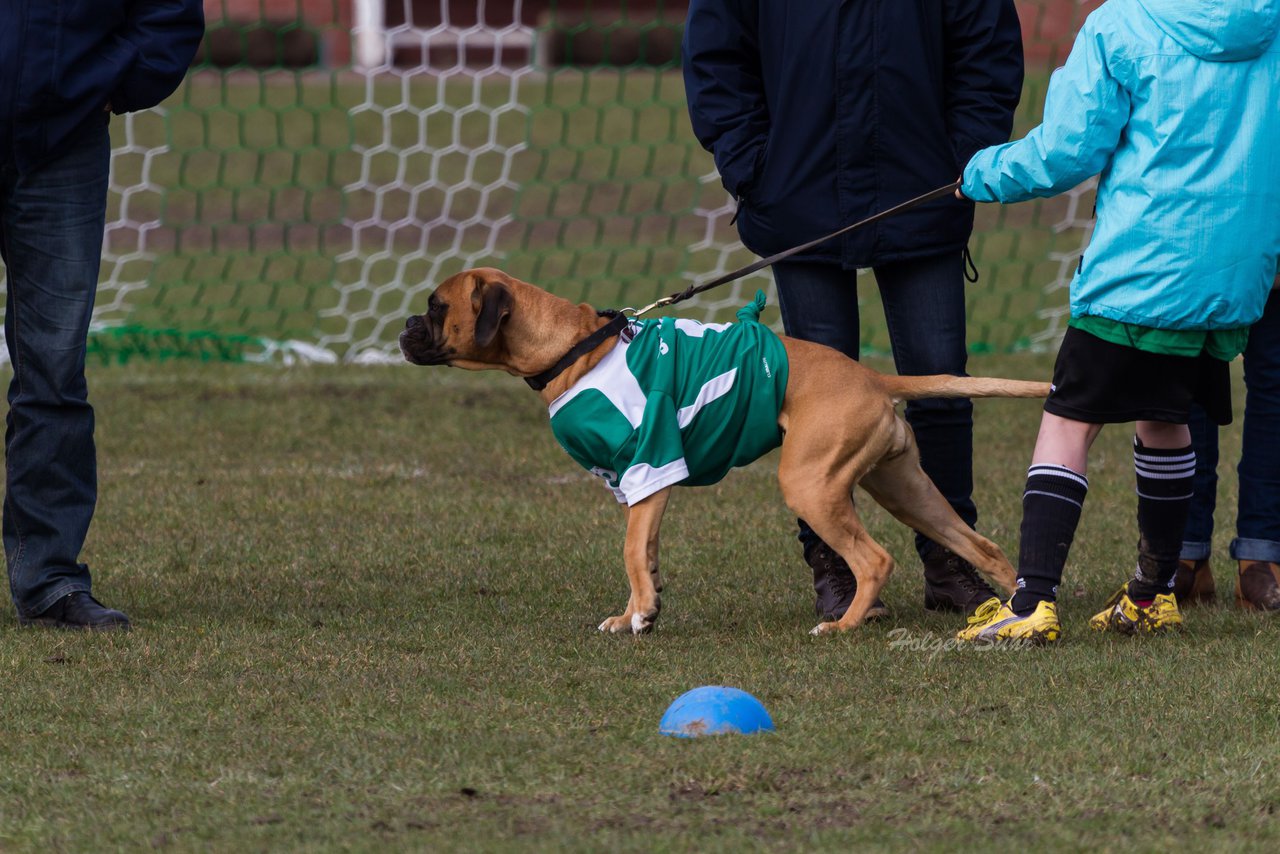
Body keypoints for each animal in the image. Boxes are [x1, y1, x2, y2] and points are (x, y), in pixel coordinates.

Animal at [399, 267, 1049, 635]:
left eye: (436, 307)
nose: (404, 326)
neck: (572, 346)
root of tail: (871, 377)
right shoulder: (640, 485)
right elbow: (645, 554)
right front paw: (639, 613)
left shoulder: (649, 464)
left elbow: (630, 551)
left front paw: (639, 613)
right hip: (903, 489)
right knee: (980, 546)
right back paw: (1019, 610)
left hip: (813, 486)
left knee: (874, 560)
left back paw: (843, 627)